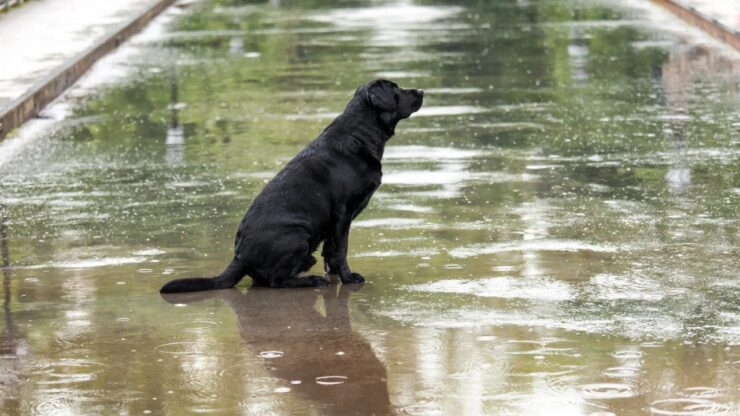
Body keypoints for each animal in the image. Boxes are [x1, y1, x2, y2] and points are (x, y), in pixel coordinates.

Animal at [161, 79, 422, 292]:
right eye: (396, 89)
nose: (420, 90)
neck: (360, 134)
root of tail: (239, 257)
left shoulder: (334, 221)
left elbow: (331, 252)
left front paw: (336, 276)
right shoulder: (342, 213)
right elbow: (342, 250)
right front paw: (348, 279)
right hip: (297, 235)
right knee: (277, 281)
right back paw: (310, 280)